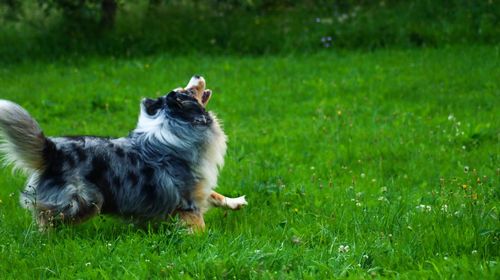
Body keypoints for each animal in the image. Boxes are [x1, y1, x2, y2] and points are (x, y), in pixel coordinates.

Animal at [0, 75, 248, 231]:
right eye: (188, 91)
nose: (197, 75)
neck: (176, 125)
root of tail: (52, 150)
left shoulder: (199, 186)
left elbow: (214, 194)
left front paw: (235, 202)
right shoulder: (187, 199)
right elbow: (198, 225)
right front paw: (204, 240)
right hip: (86, 200)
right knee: (46, 218)